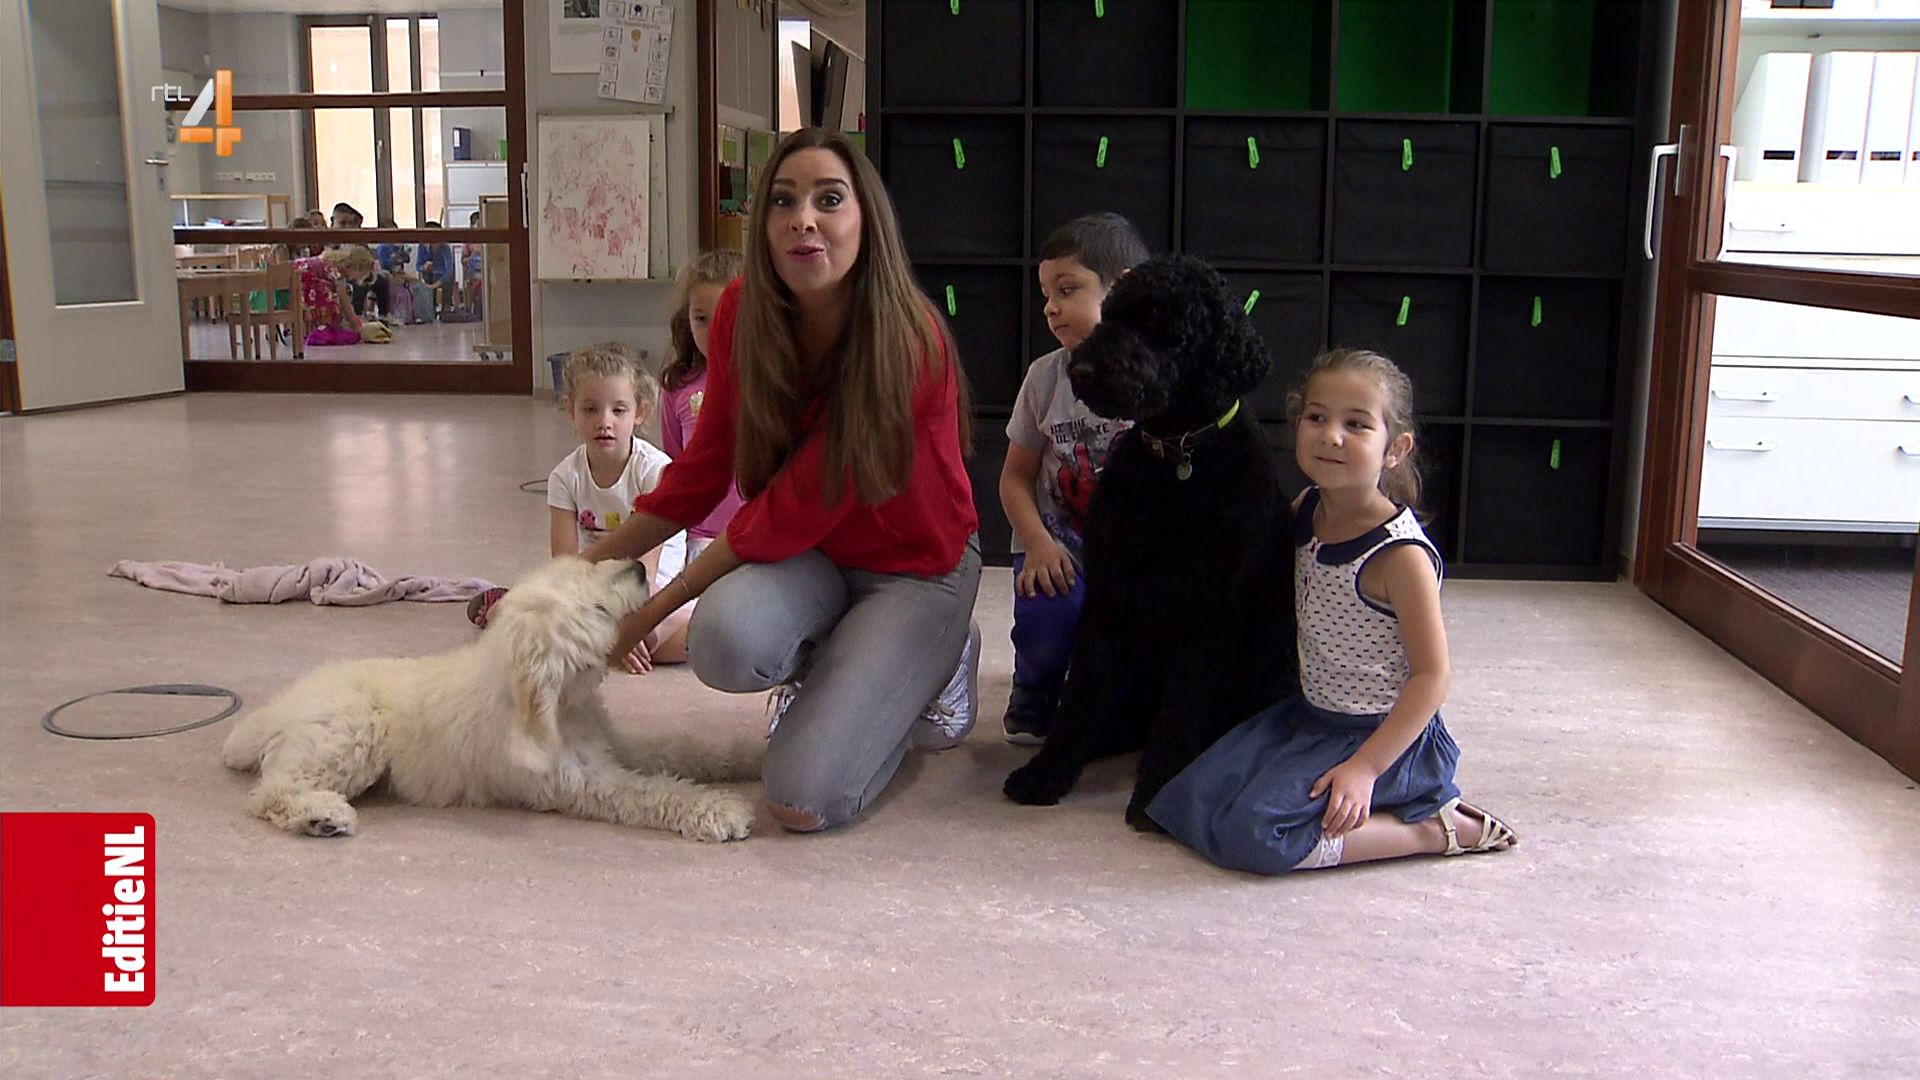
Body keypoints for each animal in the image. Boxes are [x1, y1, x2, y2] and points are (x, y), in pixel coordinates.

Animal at [222, 557, 758, 842]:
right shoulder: (581, 783)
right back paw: (323, 816)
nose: (638, 566)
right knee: (271, 793)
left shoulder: (617, 745)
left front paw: (746, 756)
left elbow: (684, 751)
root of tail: (277, 710)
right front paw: (720, 810)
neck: (563, 708)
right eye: (599, 610)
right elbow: (651, 793)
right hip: (349, 738)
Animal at [1004, 254, 1298, 829]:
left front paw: (1156, 794)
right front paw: (1048, 773)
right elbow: (1081, 694)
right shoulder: (1109, 598)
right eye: (1111, 315)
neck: (1178, 457)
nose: (1083, 371)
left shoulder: (1208, 616)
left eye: (1165, 327)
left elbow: (1181, 712)